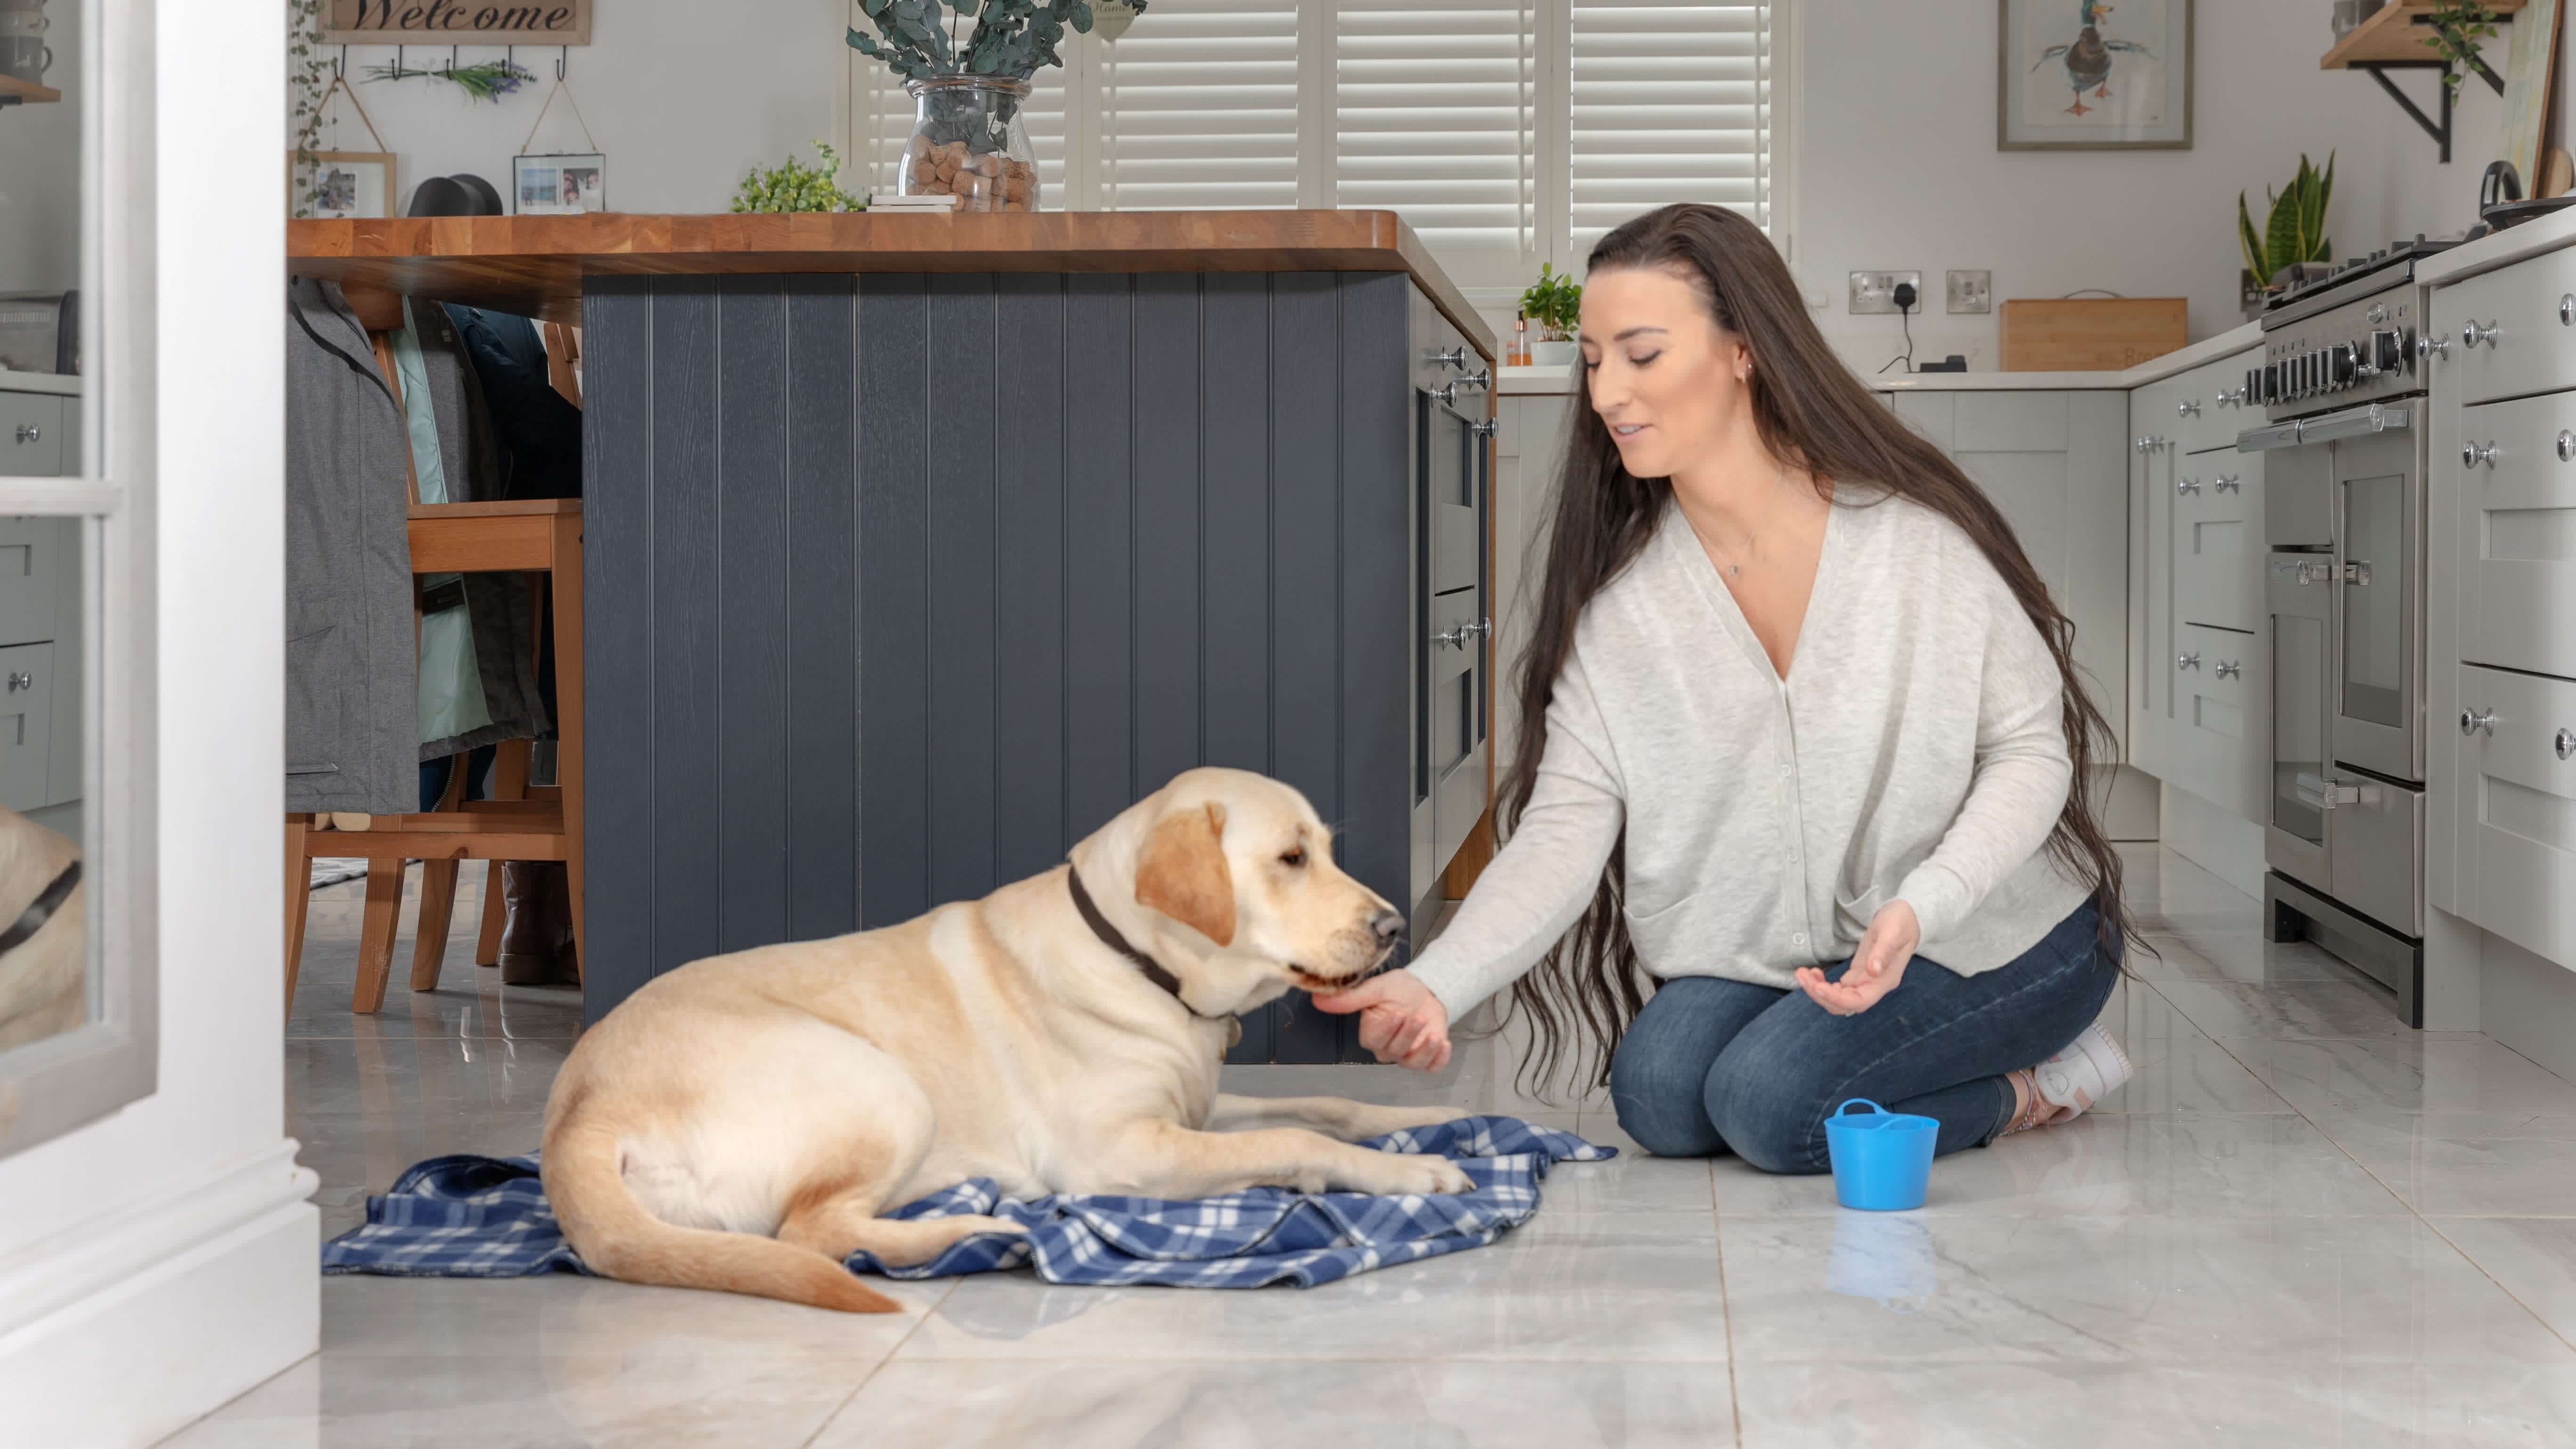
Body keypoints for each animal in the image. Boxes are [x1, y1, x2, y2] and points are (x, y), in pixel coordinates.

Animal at [543, 768, 1473, 1310]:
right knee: (810, 1233)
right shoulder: (1122, 1150)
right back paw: (978, 1227)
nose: (1395, 927)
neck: (1138, 961)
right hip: (880, 1085)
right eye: (1289, 859)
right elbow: (1293, 1136)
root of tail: (574, 1118)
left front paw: (1410, 1127)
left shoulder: (1195, 1107)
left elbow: (1327, 1103)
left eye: (1323, 851)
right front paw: (1414, 1170)